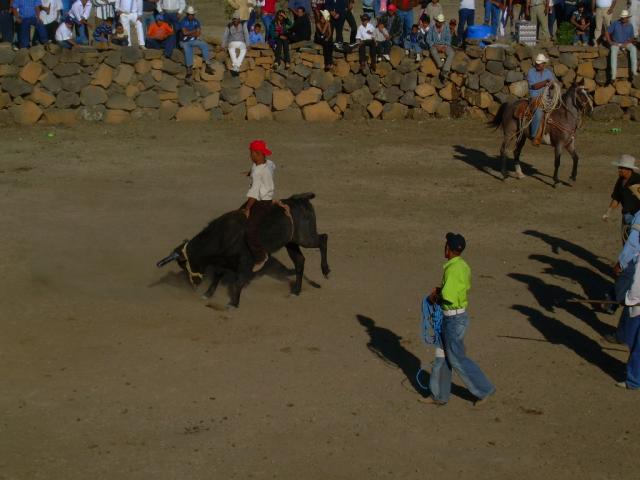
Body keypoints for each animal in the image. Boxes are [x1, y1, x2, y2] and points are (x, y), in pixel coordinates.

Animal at [155, 192, 330, 308]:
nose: (194, 285)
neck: (223, 236)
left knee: (323, 239)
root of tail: (300, 199)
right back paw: (296, 291)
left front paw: (233, 304)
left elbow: (238, 282)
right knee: (300, 262)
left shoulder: (245, 263)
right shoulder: (222, 262)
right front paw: (207, 294)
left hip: (306, 238)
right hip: (291, 243)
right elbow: (217, 276)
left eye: (184, 265)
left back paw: (325, 271)